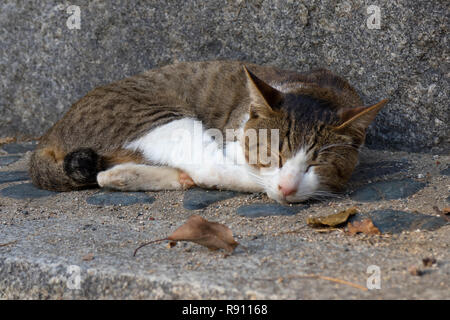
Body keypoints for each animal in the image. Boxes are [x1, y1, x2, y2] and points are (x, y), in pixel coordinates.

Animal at [29, 60, 386, 202]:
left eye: (316, 163)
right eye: (273, 154)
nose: (287, 187)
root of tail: (50, 133)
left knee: (106, 175)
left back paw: (124, 176)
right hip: (161, 117)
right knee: (206, 168)